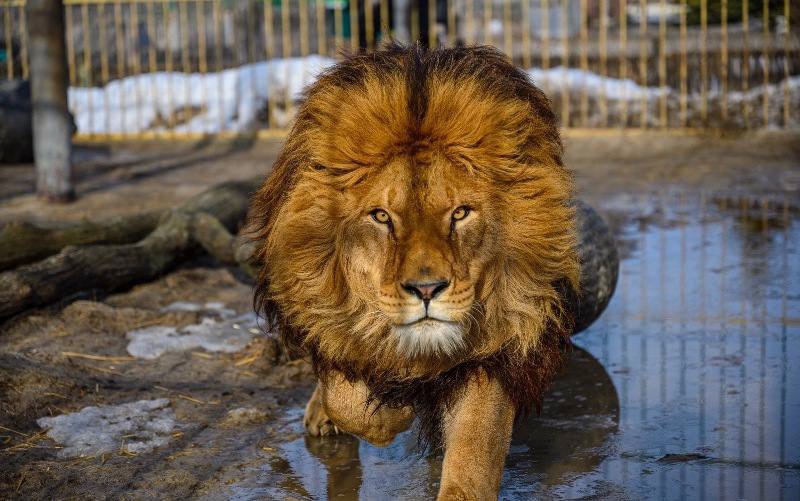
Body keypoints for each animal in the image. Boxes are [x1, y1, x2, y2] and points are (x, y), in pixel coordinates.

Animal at [253, 45, 580, 498]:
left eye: (460, 213)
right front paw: (396, 408)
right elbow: (352, 400)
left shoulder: (498, 344)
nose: (427, 290)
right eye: (381, 217)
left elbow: (473, 454)